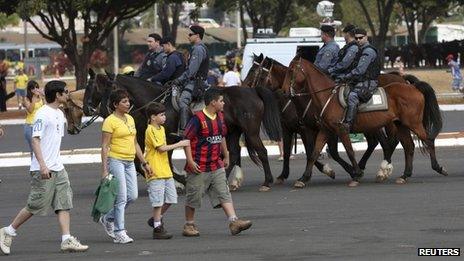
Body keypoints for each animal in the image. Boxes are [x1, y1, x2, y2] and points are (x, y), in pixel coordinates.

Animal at [282, 56, 446, 187]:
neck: (328, 96)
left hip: (413, 124)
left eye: (291, 70)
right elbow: (314, 154)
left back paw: (438, 167)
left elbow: (349, 151)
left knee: (428, 140)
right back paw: (404, 175)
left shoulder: (341, 130)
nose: (283, 91)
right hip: (401, 125)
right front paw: (303, 178)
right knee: (409, 146)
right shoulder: (325, 131)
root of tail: (413, 87)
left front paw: (356, 175)